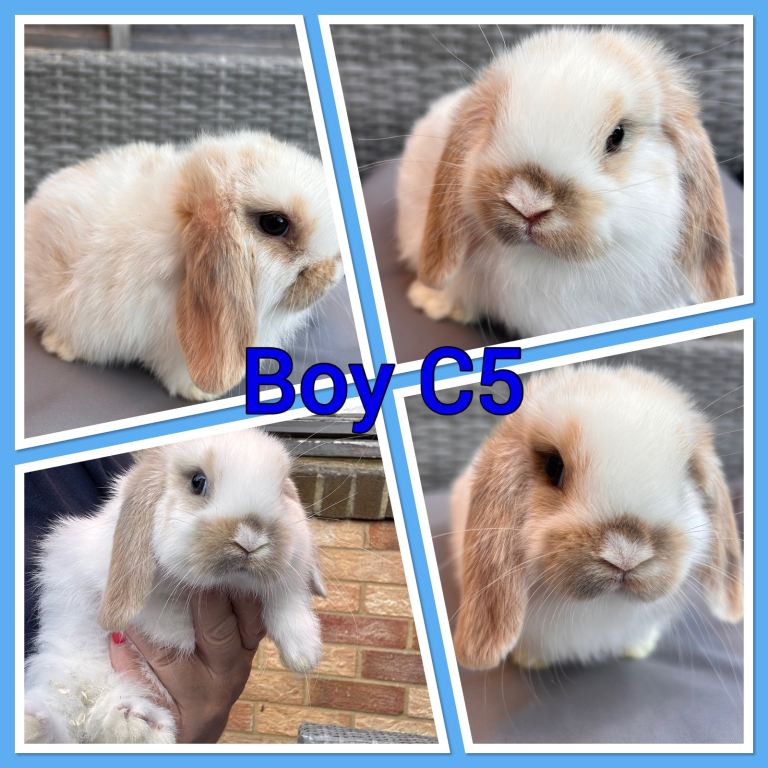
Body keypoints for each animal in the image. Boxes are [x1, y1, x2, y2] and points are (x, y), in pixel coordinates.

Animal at [24, 429, 325, 743]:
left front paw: (304, 655)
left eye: (281, 489)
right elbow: (157, 604)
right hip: (62, 674)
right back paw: (36, 722)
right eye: (197, 481)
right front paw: (176, 634)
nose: (250, 539)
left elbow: (285, 594)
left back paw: (135, 721)